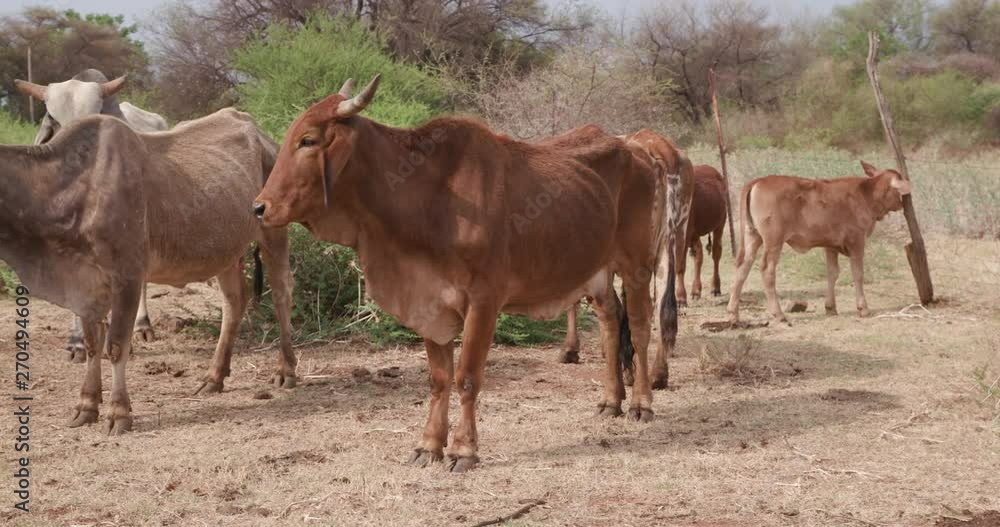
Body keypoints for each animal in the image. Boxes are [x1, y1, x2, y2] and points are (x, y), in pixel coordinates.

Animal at [0, 110, 297, 435]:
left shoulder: (128, 274)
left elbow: (116, 345)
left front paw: (119, 412)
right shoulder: (86, 285)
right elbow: (92, 344)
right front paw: (86, 405)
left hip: (273, 233)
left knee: (281, 293)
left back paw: (286, 370)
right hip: (227, 252)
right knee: (234, 303)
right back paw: (213, 377)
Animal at [727, 161, 912, 324]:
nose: (902, 203)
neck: (867, 193)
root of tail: (759, 181)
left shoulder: (830, 245)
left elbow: (832, 272)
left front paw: (830, 307)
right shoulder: (856, 241)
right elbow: (858, 274)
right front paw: (863, 308)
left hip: (752, 236)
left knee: (743, 266)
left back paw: (733, 313)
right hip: (774, 240)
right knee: (767, 269)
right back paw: (778, 314)